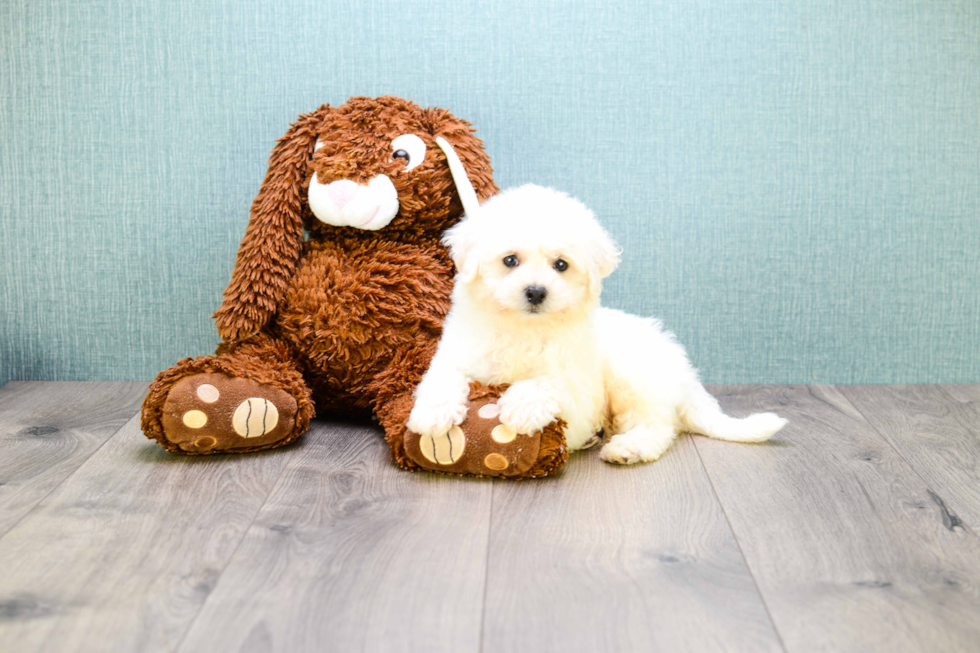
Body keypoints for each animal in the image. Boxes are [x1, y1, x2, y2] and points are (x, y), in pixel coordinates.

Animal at [402, 183, 784, 464]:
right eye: (510, 261)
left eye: (561, 265)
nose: (536, 292)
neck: (523, 328)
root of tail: (686, 377)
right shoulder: (459, 353)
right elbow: (442, 377)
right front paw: (433, 415)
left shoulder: (579, 391)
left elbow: (550, 383)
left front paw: (522, 408)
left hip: (632, 374)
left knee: (658, 425)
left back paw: (628, 447)